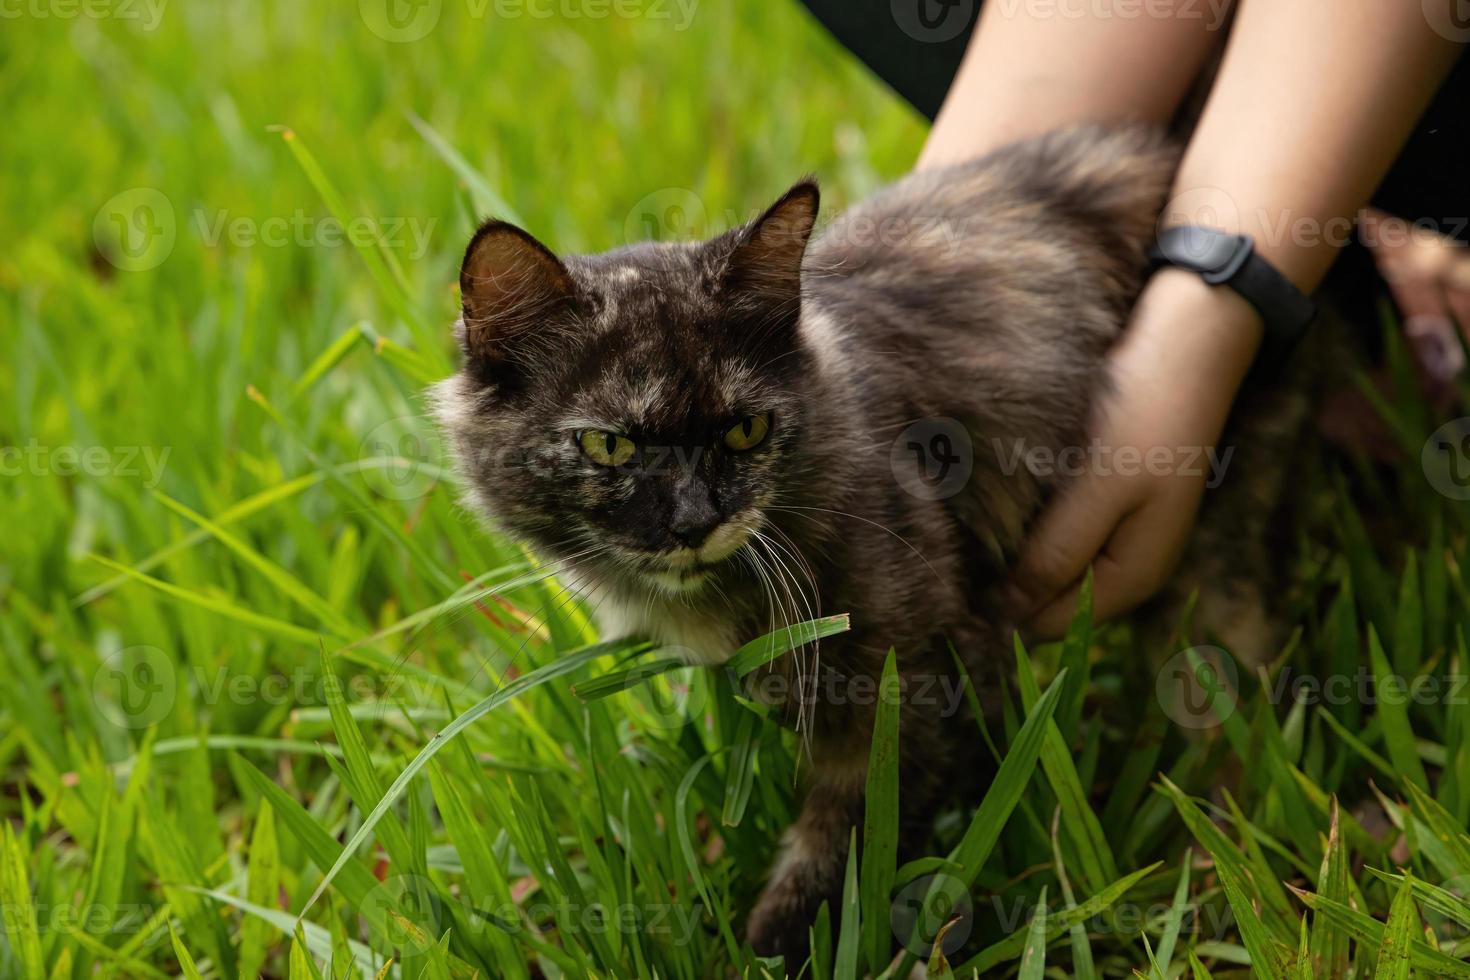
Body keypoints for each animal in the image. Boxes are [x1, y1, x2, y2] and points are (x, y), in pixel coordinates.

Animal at [429, 126, 1317, 963]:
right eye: (608, 445)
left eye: (745, 432)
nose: (693, 520)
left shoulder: (909, 690)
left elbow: (840, 860)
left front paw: (775, 952)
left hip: (1211, 599)